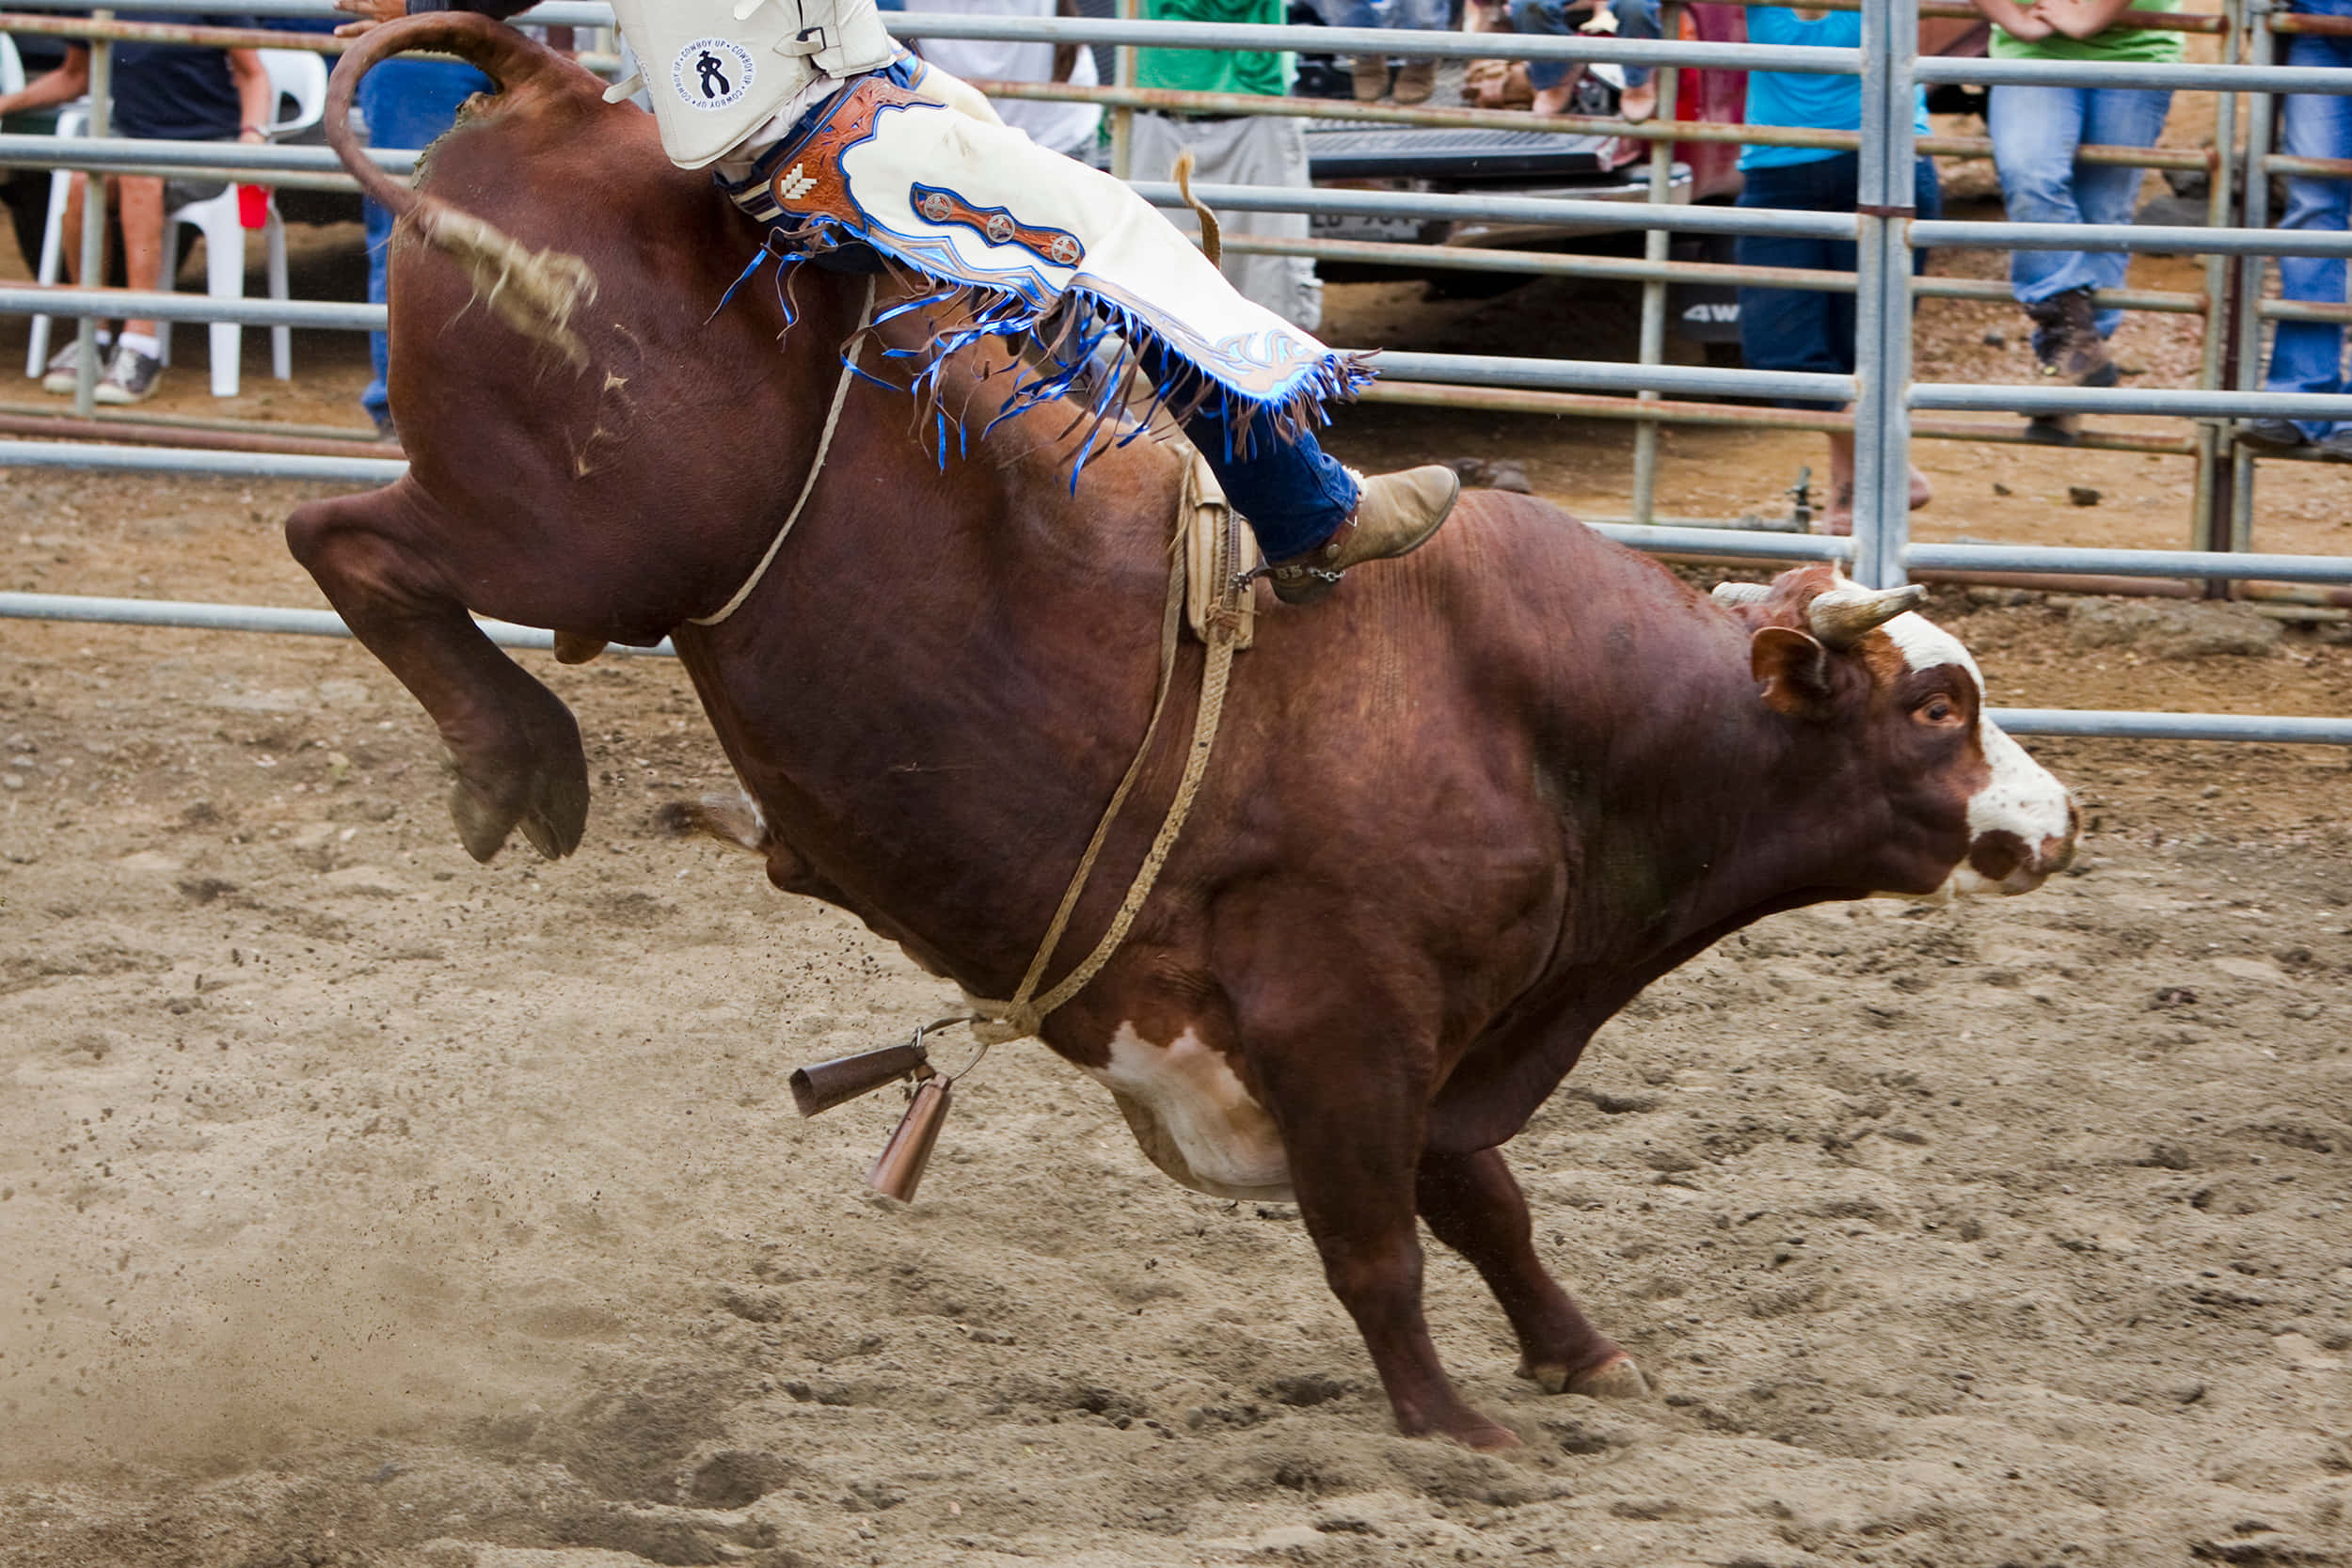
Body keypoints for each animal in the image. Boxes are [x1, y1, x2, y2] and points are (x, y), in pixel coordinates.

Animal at [289, 15, 2078, 1452]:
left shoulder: (1437, 1044)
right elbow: (1380, 1243)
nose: (2060, 818)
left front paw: (1581, 1355)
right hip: (580, 534)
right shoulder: (1341, 1018)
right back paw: (517, 753)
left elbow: (1484, 1201)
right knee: (345, 537)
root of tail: (551, 83)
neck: (1548, 719)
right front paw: (1455, 1430)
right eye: (1936, 705)